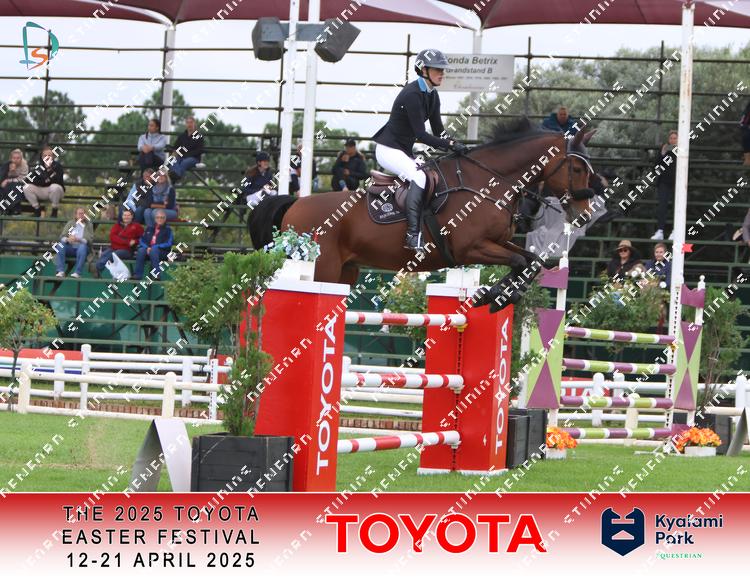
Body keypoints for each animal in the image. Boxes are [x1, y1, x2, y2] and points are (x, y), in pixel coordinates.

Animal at [249, 119, 595, 311]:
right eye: (577, 169)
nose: (584, 215)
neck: (488, 181)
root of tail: (295, 204)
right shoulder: (471, 248)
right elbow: (520, 261)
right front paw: (494, 297)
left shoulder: (495, 242)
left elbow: (531, 261)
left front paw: (498, 297)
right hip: (321, 266)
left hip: (346, 270)